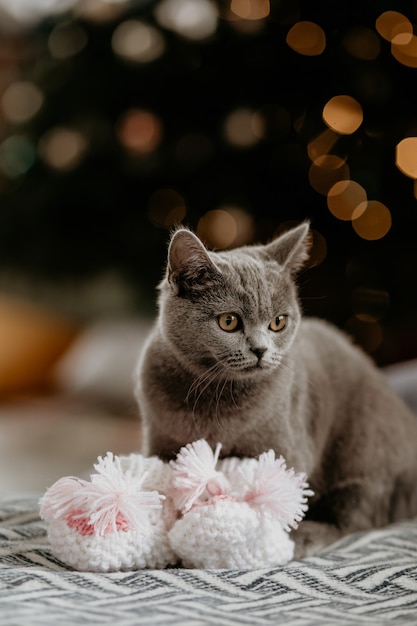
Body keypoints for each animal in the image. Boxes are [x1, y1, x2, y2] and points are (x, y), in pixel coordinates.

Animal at [135, 221, 416, 556]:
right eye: (228, 321)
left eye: (278, 322)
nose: (260, 350)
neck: (216, 396)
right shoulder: (160, 444)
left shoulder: (287, 450)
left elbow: (280, 497)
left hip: (363, 448)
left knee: (357, 514)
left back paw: (306, 537)